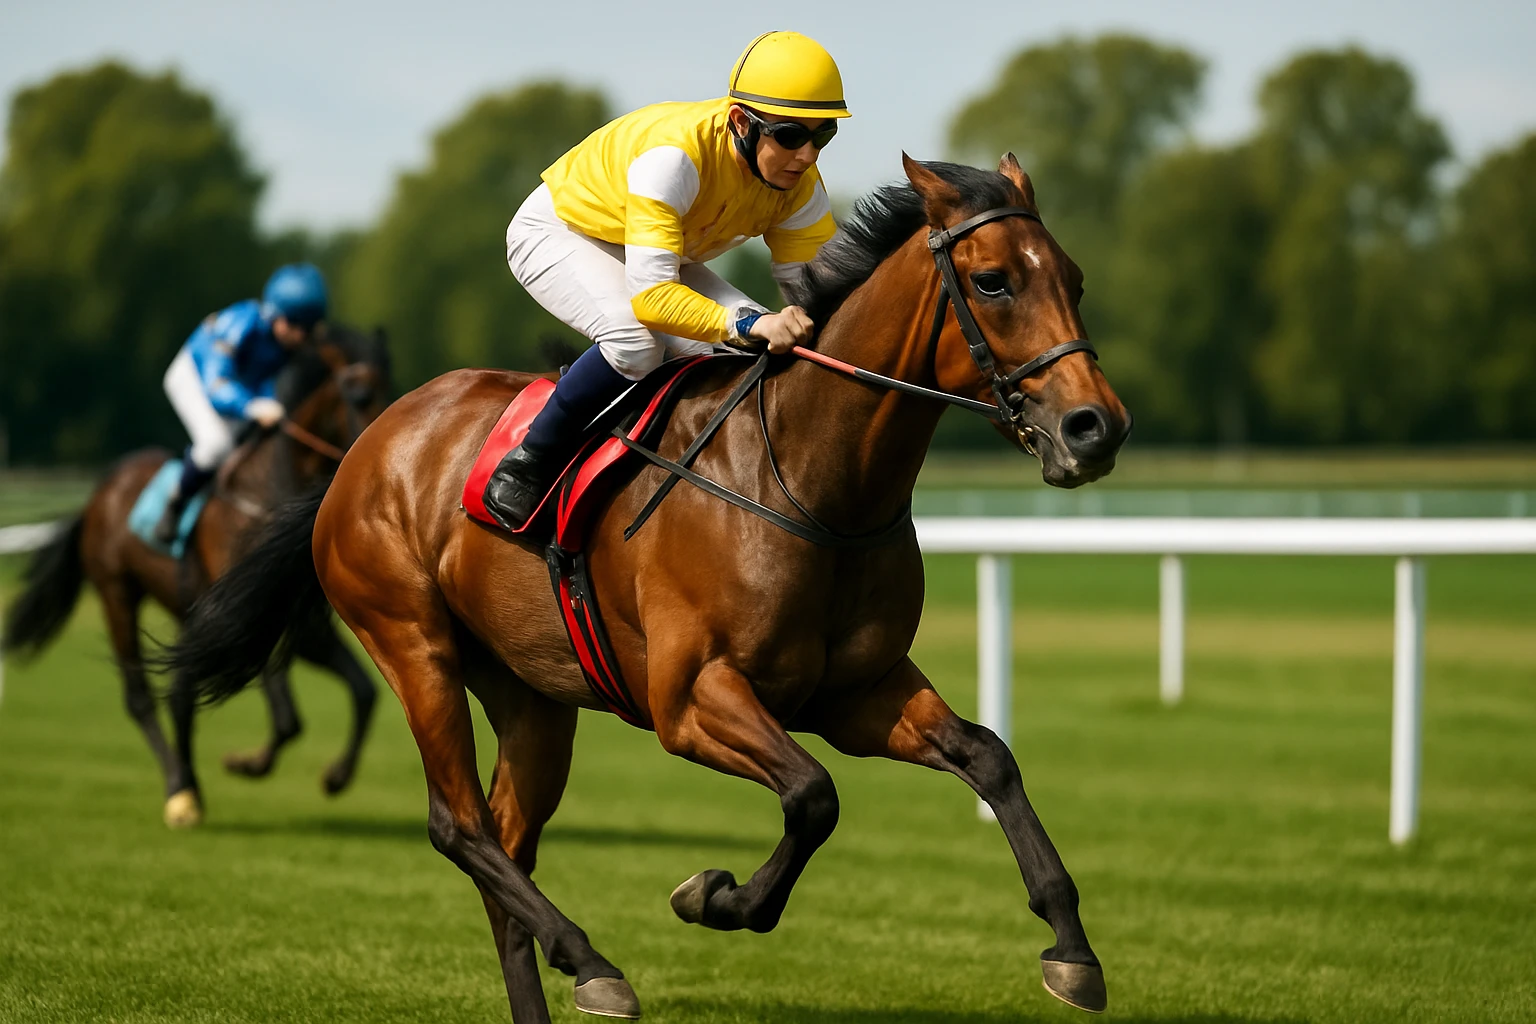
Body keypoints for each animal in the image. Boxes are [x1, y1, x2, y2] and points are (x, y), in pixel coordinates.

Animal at [2, 325, 392, 828]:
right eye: (358, 392)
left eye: (390, 382)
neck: (267, 492)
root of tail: (99, 493)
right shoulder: (256, 620)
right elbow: (288, 716)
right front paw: (249, 762)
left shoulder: (298, 624)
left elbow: (363, 692)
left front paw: (335, 776)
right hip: (116, 592)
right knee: (141, 696)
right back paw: (180, 790)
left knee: (181, 692)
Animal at [168, 156, 1130, 1020]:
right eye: (994, 281)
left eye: (1076, 280)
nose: (1097, 428)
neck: (809, 481)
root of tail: (362, 449)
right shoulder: (690, 697)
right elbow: (813, 795)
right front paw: (714, 896)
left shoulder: (860, 690)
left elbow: (987, 756)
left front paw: (1073, 952)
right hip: (413, 644)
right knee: (460, 826)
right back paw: (592, 962)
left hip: (529, 694)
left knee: (506, 846)